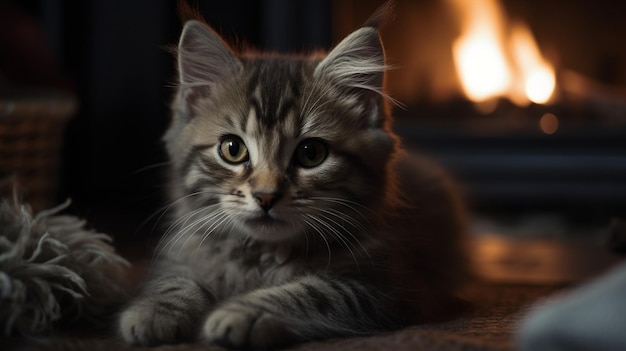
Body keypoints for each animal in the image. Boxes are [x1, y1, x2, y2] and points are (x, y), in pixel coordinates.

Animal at [118, 7, 468, 350]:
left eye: (311, 153)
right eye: (232, 149)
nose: (266, 196)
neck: (260, 256)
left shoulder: (387, 288)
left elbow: (313, 292)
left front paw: (244, 313)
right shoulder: (183, 250)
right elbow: (173, 280)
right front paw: (155, 310)